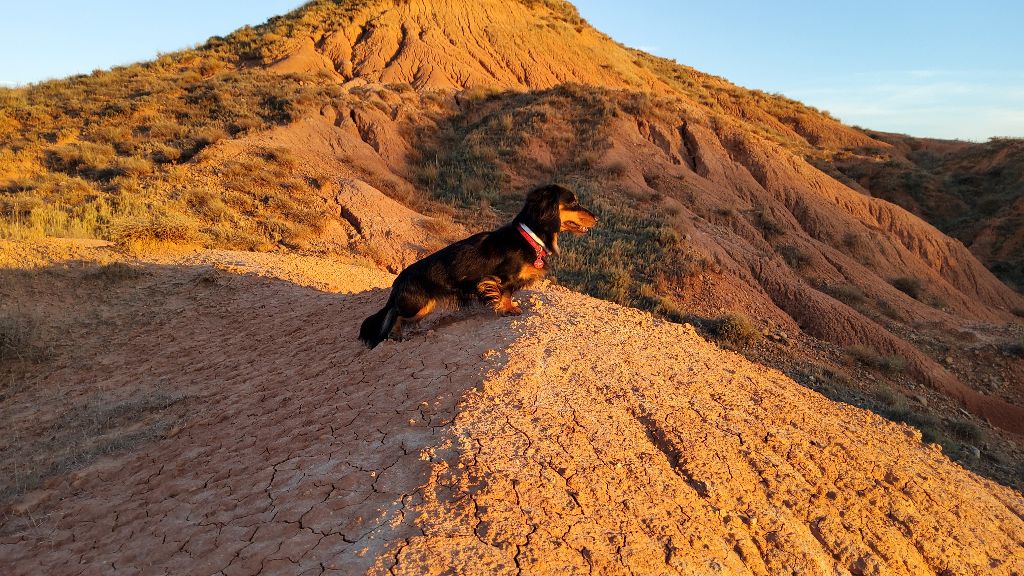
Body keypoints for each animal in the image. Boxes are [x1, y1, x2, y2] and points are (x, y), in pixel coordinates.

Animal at [360, 183, 598, 344]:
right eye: (573, 202)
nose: (597, 218)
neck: (528, 237)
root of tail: (398, 282)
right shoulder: (501, 278)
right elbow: (505, 293)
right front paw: (508, 309)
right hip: (417, 305)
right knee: (395, 316)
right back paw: (397, 335)